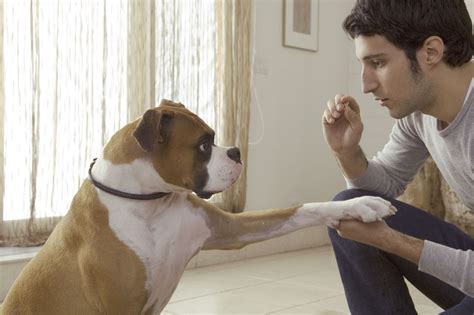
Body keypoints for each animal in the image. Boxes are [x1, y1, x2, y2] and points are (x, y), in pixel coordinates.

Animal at [1, 100, 396, 315]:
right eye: (204, 145)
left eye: (214, 138)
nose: (236, 152)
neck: (151, 204)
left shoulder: (230, 229)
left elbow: (302, 209)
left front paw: (361, 204)